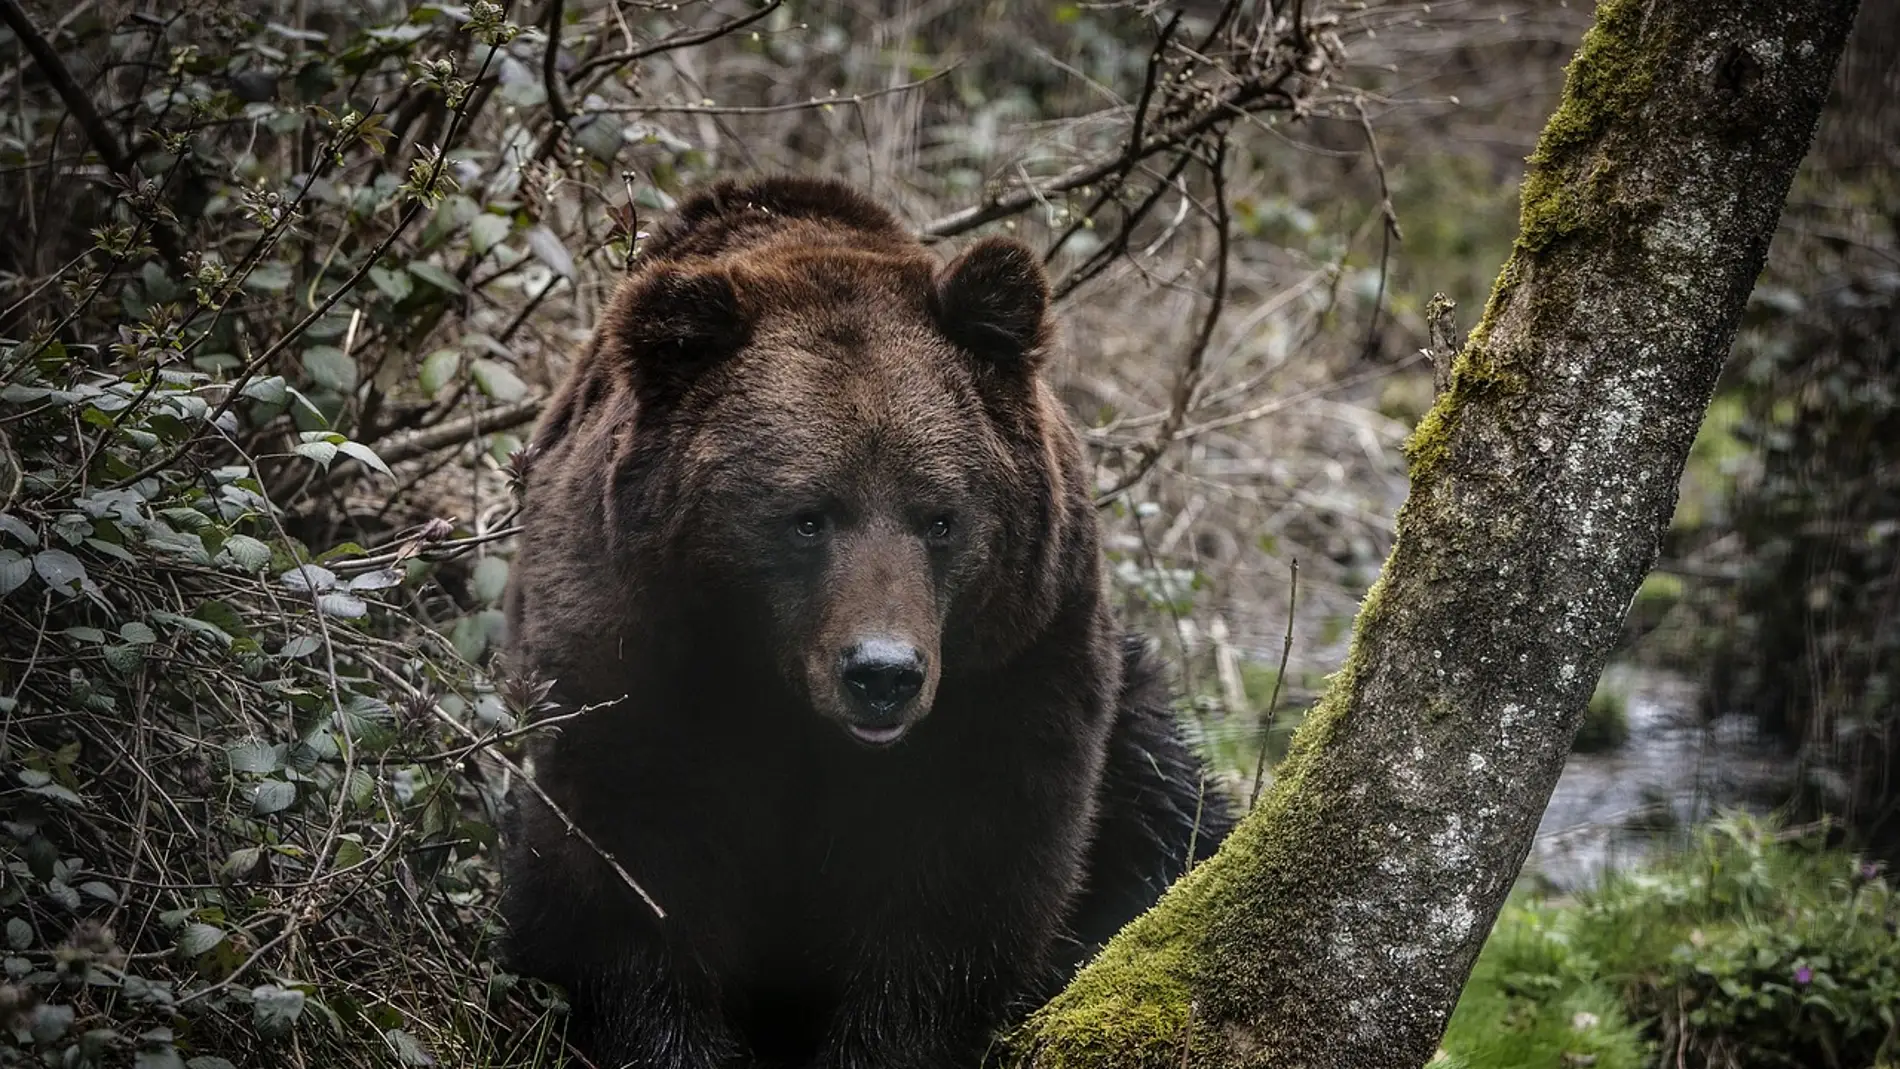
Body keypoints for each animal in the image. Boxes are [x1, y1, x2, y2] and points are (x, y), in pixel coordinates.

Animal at [494, 177, 1231, 1069]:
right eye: (807, 517)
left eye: (941, 517)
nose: (883, 673)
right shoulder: (632, 652)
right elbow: (632, 878)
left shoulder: (1013, 666)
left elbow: (956, 893)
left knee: (1173, 815)